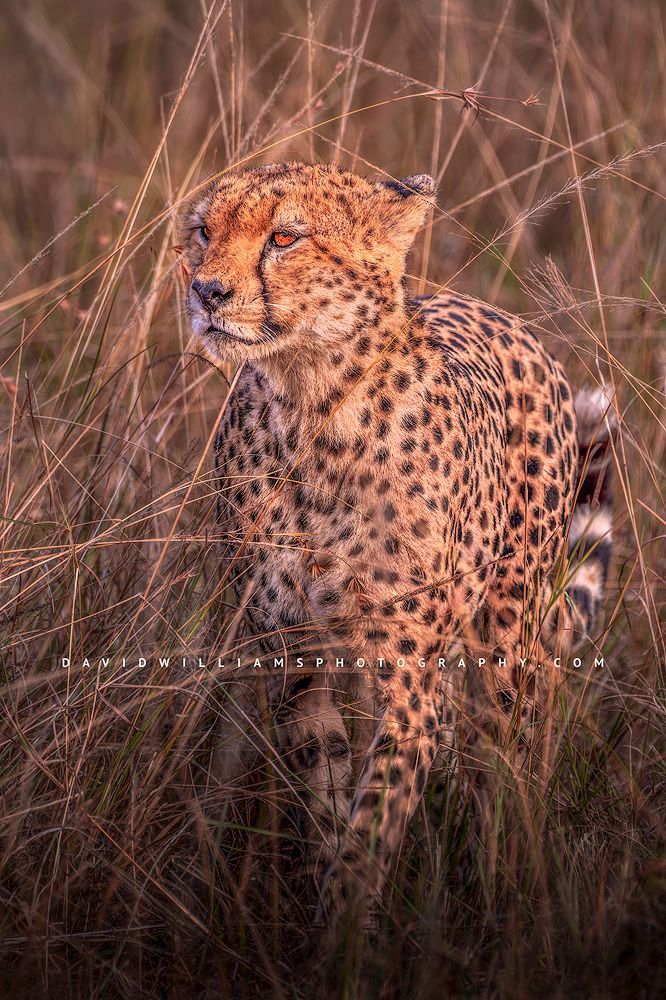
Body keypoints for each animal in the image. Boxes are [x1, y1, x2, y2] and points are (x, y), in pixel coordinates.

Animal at [181, 161, 615, 934]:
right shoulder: (295, 658)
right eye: (204, 230)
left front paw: (350, 925)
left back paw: (511, 875)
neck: (310, 401)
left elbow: (377, 809)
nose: (205, 292)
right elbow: (327, 787)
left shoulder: (407, 676)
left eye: (285, 237)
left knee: (515, 736)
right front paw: (328, 903)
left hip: (509, 634)